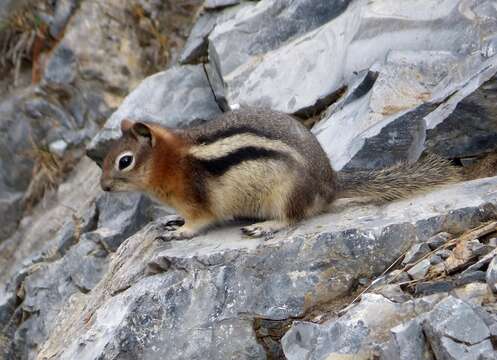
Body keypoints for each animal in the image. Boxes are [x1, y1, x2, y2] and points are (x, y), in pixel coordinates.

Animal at [99, 107, 460, 242]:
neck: (169, 161)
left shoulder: (196, 199)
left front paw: (180, 232)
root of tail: (329, 184)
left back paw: (264, 226)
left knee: (292, 217)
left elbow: (199, 221)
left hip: (285, 193)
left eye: (124, 162)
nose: (102, 187)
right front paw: (172, 222)